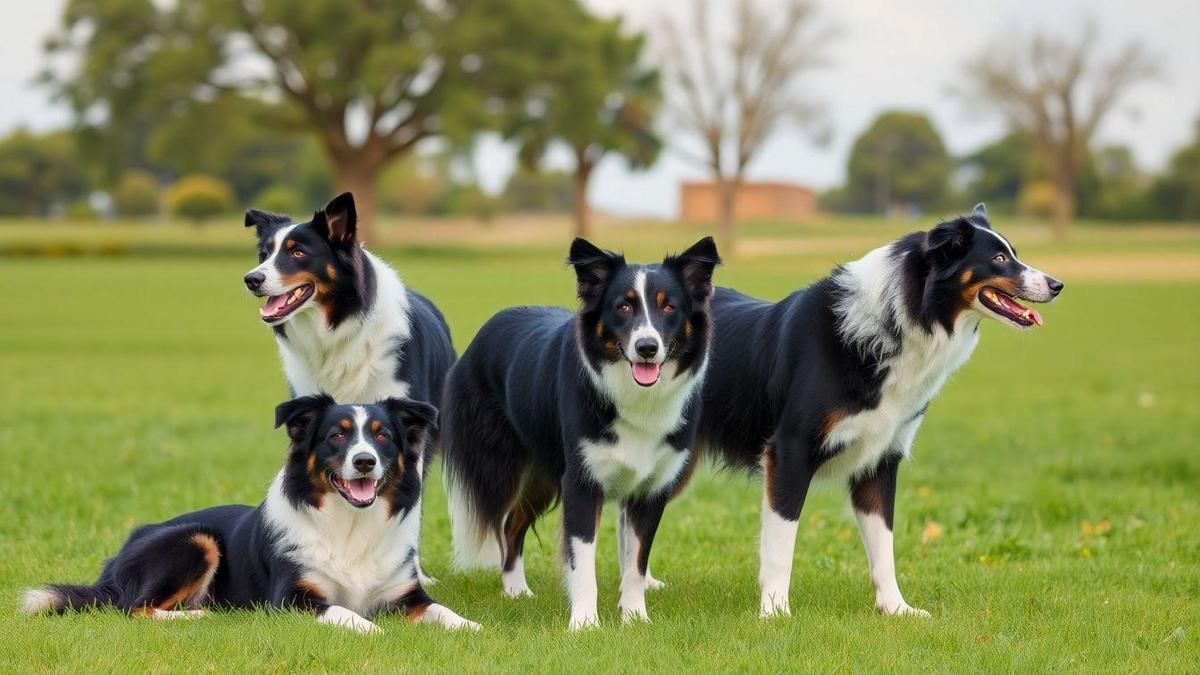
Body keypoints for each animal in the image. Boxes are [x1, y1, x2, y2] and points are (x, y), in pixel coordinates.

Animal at [444, 235, 715, 624]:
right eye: (623, 306)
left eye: (669, 307)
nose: (647, 347)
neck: (633, 395)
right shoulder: (581, 481)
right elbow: (583, 561)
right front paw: (585, 624)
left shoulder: (652, 488)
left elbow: (637, 562)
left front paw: (635, 617)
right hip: (501, 467)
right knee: (502, 521)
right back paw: (513, 589)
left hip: (543, 475)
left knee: (512, 524)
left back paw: (518, 589)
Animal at [700, 204, 1065, 614]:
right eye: (999, 259)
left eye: (1013, 253)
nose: (1057, 285)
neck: (899, 323)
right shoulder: (790, 452)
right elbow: (781, 544)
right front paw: (775, 612)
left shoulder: (881, 458)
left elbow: (883, 545)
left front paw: (896, 609)